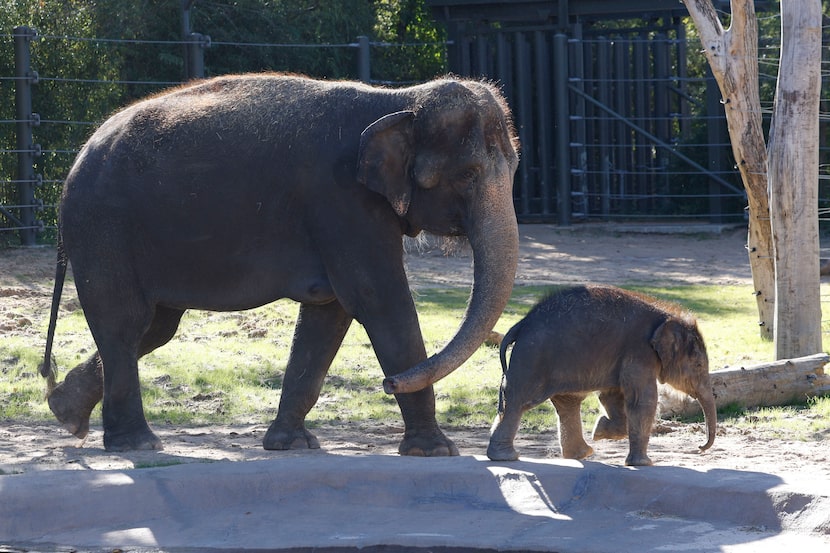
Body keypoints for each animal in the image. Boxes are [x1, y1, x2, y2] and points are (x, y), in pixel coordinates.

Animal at [39, 73, 520, 455]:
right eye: (469, 175)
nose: (389, 383)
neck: (397, 100)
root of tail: (75, 163)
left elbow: (329, 315)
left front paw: (291, 444)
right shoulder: (342, 201)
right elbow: (379, 300)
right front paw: (436, 451)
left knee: (155, 326)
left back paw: (66, 412)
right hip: (104, 227)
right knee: (127, 323)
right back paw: (135, 443)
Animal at [487, 285, 716, 466]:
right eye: (698, 365)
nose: (699, 448)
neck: (666, 318)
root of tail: (522, 323)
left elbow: (612, 396)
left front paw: (599, 430)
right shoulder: (640, 353)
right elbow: (643, 400)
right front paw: (644, 463)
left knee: (567, 403)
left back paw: (582, 454)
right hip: (532, 358)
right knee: (518, 402)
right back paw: (506, 457)